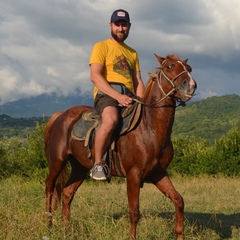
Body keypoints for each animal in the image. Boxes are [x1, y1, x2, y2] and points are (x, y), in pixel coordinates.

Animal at [44, 53, 197, 239]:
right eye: (169, 67)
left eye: (189, 69)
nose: (191, 85)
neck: (149, 128)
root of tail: (60, 116)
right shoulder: (133, 175)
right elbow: (134, 212)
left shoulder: (159, 174)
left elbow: (179, 201)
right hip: (57, 162)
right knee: (49, 187)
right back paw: (48, 223)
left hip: (79, 167)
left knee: (67, 194)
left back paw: (66, 229)